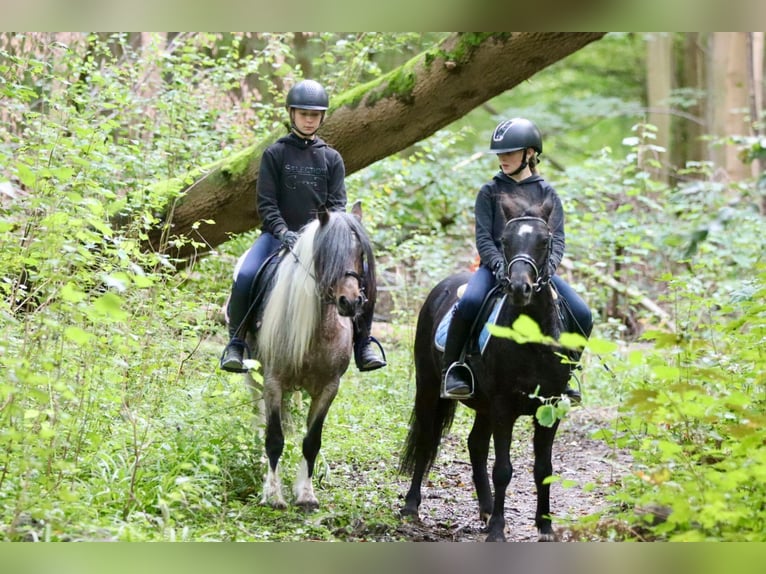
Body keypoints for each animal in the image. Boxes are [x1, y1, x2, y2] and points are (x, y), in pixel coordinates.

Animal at [402, 196, 568, 544]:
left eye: (545, 241)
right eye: (505, 240)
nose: (520, 288)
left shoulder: (549, 406)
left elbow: (544, 469)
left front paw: (545, 527)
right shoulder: (504, 406)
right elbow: (503, 469)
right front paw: (498, 533)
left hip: (483, 405)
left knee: (476, 444)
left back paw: (487, 509)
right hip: (429, 387)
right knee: (426, 439)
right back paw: (411, 508)